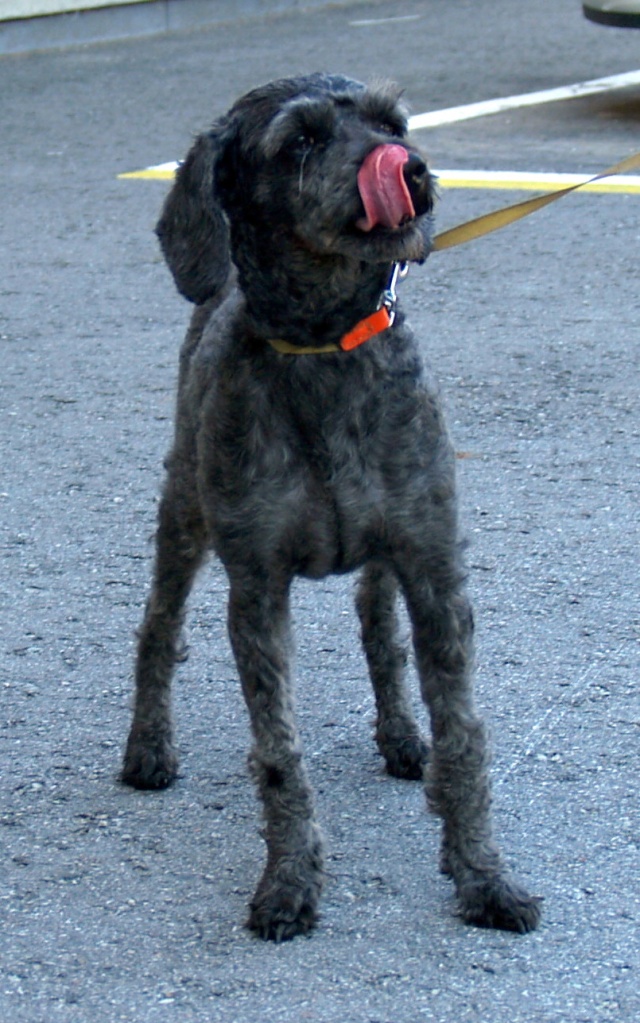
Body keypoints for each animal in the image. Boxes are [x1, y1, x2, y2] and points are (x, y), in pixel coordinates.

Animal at [121, 73, 541, 940]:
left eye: (392, 123)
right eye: (302, 140)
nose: (409, 169)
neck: (324, 345)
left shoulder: (433, 564)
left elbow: (464, 738)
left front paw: (485, 877)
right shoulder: (256, 587)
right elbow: (280, 754)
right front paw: (288, 882)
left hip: (385, 556)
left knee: (378, 633)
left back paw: (401, 735)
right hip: (184, 510)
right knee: (158, 626)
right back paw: (147, 748)